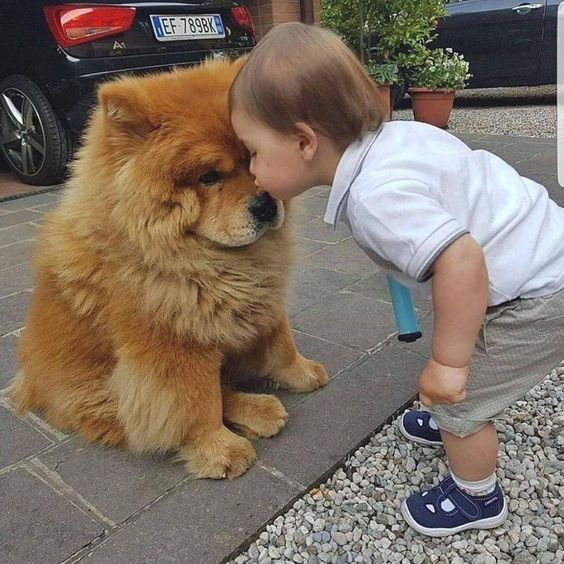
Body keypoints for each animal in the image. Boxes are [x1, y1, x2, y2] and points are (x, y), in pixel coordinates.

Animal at [8, 59, 328, 478]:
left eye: (253, 158)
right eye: (209, 177)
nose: (265, 205)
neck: (212, 260)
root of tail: (29, 378)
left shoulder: (263, 299)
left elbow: (281, 343)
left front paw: (302, 372)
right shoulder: (174, 342)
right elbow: (198, 402)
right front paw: (219, 449)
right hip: (102, 390)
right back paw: (257, 410)